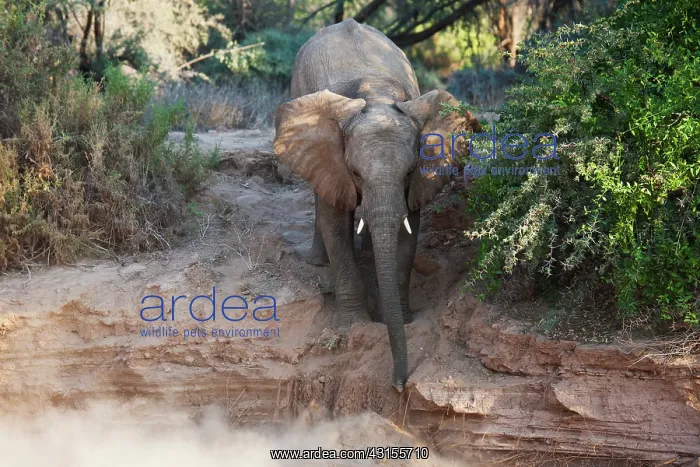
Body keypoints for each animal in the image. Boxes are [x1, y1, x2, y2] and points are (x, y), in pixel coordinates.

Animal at [273, 18, 481, 392]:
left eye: (410, 171)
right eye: (355, 173)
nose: (399, 384)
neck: (377, 95)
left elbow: (408, 230)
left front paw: (398, 318)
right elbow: (336, 224)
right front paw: (355, 325)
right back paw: (318, 261)